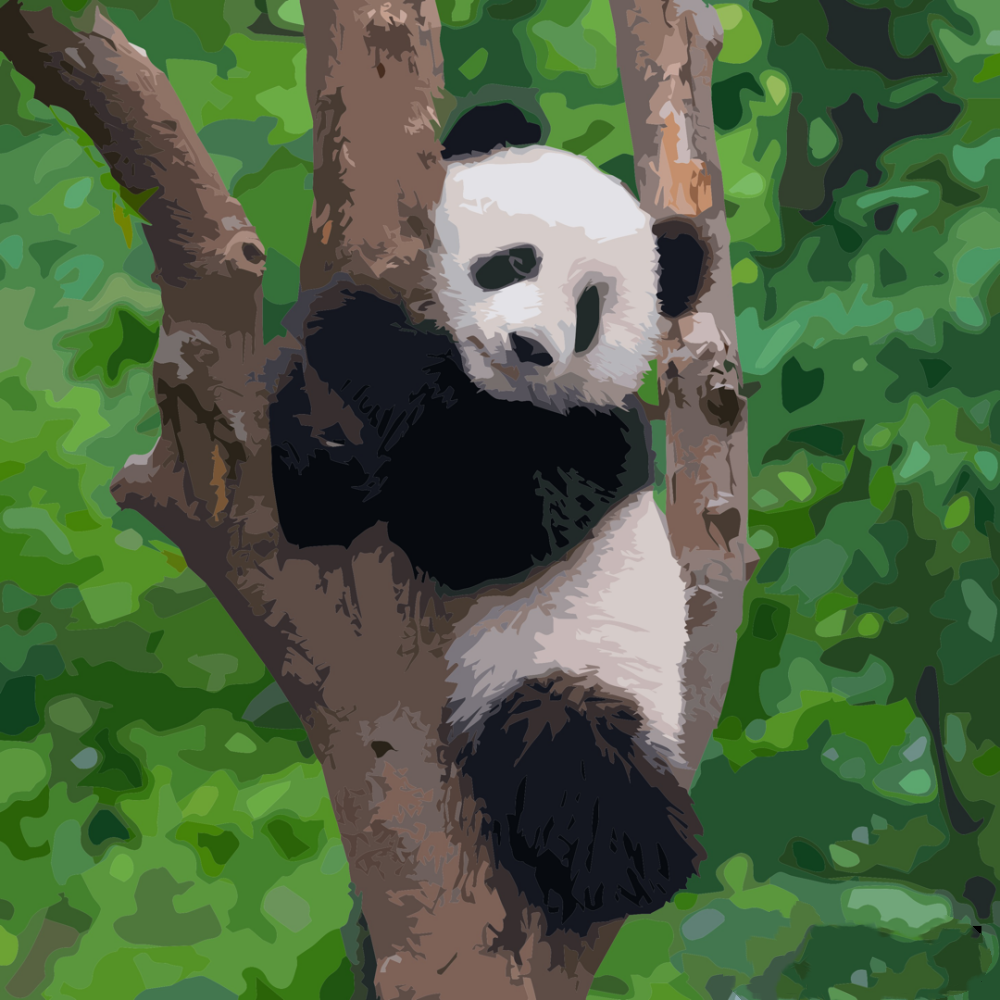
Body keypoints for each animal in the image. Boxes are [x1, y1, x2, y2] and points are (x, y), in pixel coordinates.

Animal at [270, 124, 705, 934]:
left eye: (589, 310)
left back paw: (612, 874)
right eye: (515, 261)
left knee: (568, 750)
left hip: (594, 686)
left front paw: (352, 324)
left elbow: (483, 526)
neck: (487, 392)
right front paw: (302, 417)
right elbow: (315, 513)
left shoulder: (598, 441)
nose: (531, 348)